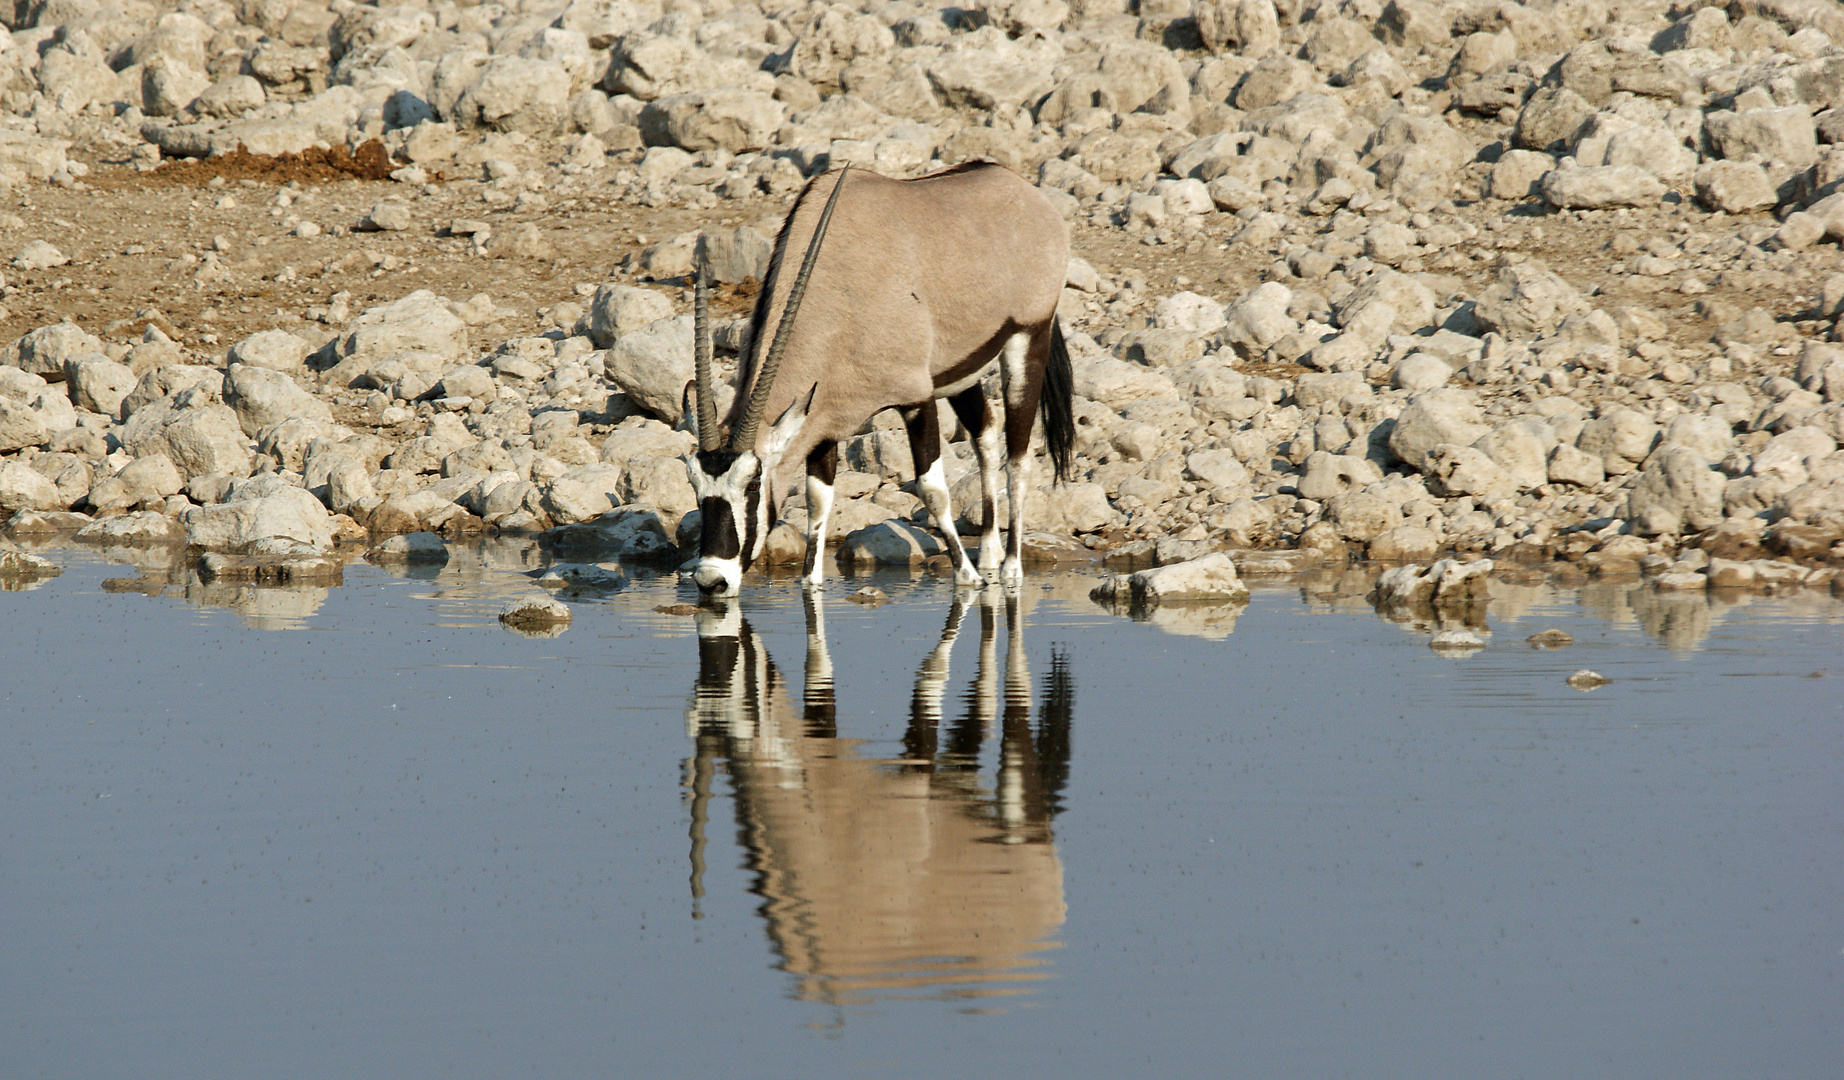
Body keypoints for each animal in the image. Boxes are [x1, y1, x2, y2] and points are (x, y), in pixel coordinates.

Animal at [685, 164, 1076, 593]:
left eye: (753, 484)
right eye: (694, 485)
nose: (711, 580)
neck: (837, 292)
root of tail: (1021, 189)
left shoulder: (916, 400)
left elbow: (932, 490)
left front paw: (967, 577)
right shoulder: (822, 422)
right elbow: (818, 500)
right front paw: (811, 581)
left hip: (1029, 338)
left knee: (1018, 458)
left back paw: (1009, 568)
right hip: (960, 371)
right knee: (986, 435)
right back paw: (989, 556)